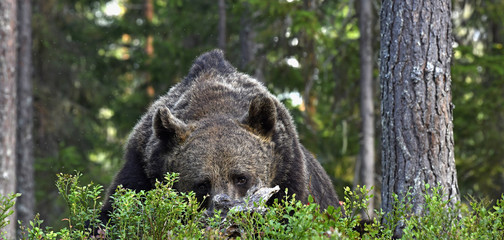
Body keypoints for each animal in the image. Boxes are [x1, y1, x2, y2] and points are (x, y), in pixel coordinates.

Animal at [99, 49, 340, 224]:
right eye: (201, 184)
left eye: (241, 177)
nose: (225, 210)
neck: (213, 104)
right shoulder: (141, 169)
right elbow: (115, 213)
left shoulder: (288, 174)